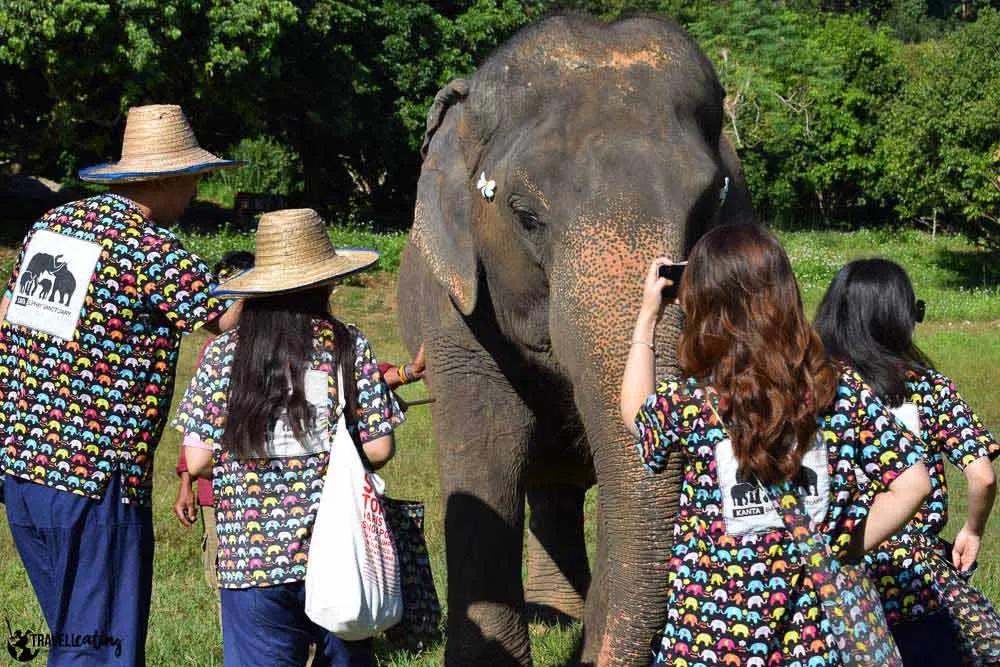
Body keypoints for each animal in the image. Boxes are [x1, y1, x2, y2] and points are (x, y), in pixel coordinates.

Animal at [397, 14, 753, 666]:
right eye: (525, 216)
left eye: (706, 213)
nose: (597, 650)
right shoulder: (451, 310)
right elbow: (491, 444)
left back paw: (560, 614)